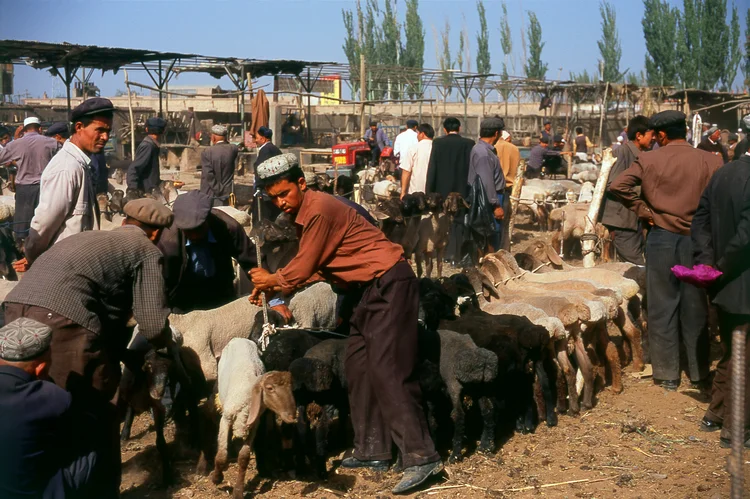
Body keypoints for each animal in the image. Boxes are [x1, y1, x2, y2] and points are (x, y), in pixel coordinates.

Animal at [209, 338, 300, 498]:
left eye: (290, 387)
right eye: (270, 388)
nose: (292, 415)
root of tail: (239, 338)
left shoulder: (253, 424)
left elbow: (244, 457)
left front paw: (238, 491)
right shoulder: (225, 419)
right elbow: (221, 455)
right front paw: (217, 478)